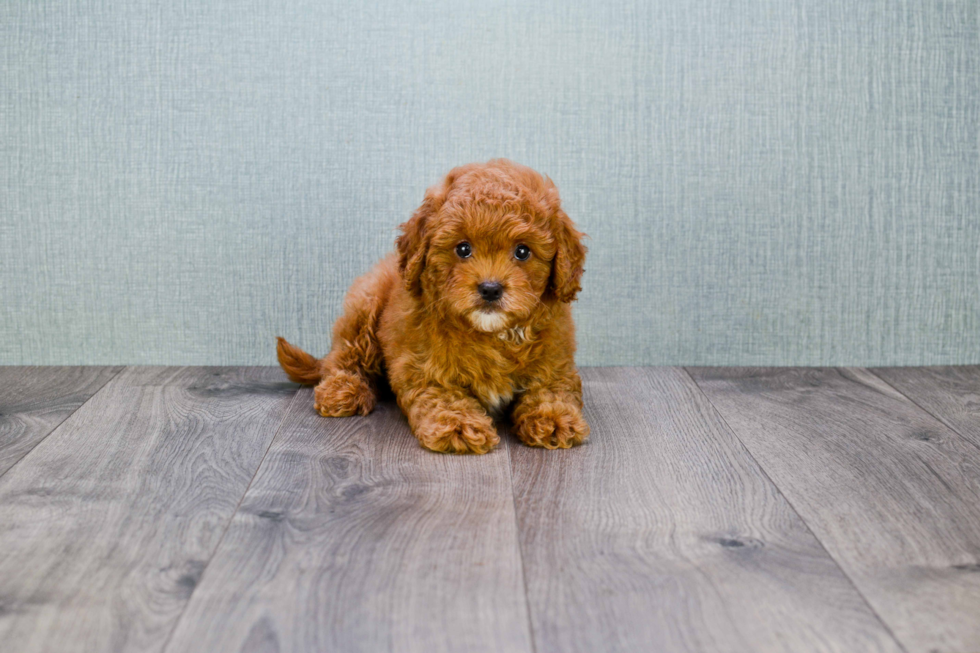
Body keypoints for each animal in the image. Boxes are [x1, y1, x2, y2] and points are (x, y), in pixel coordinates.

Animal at [280, 159, 592, 454]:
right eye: (463, 249)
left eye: (523, 251)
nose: (490, 288)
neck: (491, 334)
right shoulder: (422, 368)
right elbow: (444, 397)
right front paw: (459, 426)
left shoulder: (556, 364)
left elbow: (551, 390)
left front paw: (554, 419)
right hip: (365, 307)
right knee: (342, 357)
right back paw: (342, 389)